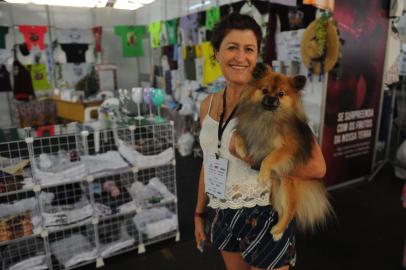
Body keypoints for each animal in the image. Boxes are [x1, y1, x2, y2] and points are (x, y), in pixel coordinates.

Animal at [233, 63, 332, 240]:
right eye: (265, 90)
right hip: (276, 188)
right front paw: (241, 148)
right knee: (281, 208)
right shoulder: (248, 128)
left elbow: (270, 158)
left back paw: (278, 230)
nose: (272, 99)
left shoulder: (289, 148)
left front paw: (263, 174)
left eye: (281, 94)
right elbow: (239, 133)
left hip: (288, 181)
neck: (268, 117)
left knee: (291, 210)